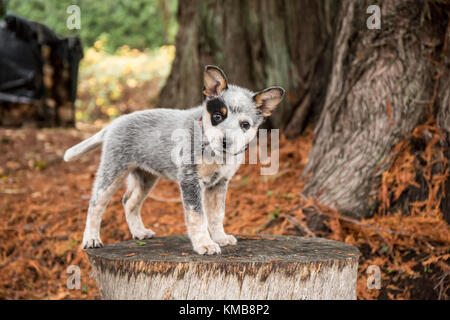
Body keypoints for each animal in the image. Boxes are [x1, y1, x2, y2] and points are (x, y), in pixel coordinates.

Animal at [63, 65, 284, 255]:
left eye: (245, 125)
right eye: (217, 116)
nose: (225, 142)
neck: (211, 150)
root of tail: (114, 123)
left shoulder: (219, 183)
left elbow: (216, 215)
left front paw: (220, 237)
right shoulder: (190, 180)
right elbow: (197, 216)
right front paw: (204, 244)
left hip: (146, 177)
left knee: (129, 201)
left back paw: (139, 232)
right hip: (113, 170)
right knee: (96, 203)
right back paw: (91, 239)